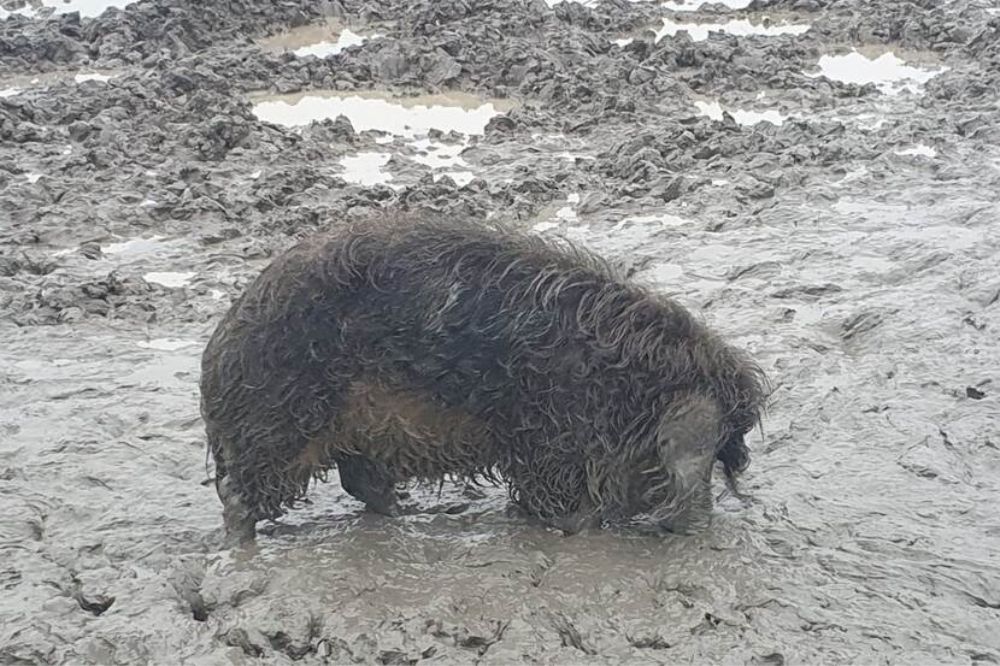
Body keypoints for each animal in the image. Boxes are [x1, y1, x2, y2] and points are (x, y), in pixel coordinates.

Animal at [199, 215, 768, 544]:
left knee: (360, 482)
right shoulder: (551, 441)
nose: (694, 529)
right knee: (237, 496)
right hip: (278, 425)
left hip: (356, 434)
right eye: (716, 446)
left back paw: (411, 514)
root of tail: (219, 350)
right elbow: (567, 507)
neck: (628, 388)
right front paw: (577, 530)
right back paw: (240, 552)